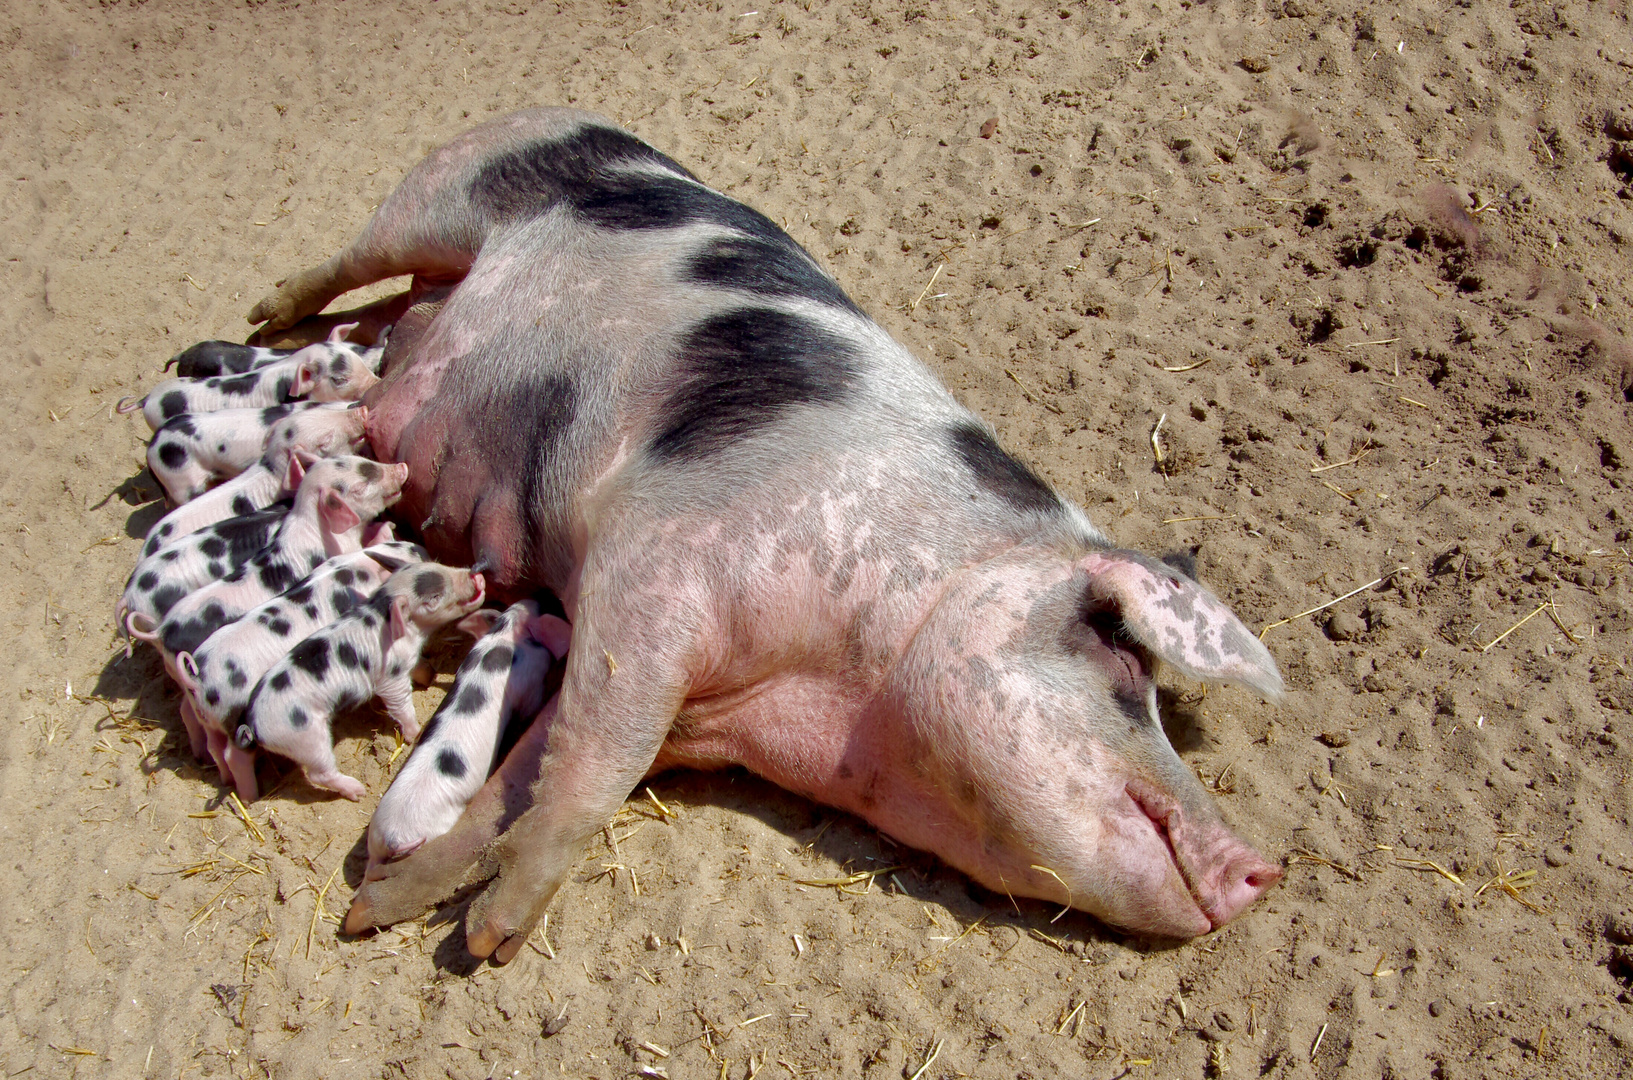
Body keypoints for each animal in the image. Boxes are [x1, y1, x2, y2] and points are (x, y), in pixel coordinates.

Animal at [248, 107, 1280, 960]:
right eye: (1124, 656)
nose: (1263, 868)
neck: (825, 693)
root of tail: (553, 109)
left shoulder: (676, 706)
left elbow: (527, 778)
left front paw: (382, 913)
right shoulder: (652, 570)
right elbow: (591, 772)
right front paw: (493, 941)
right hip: (439, 196)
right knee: (347, 261)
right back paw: (264, 314)